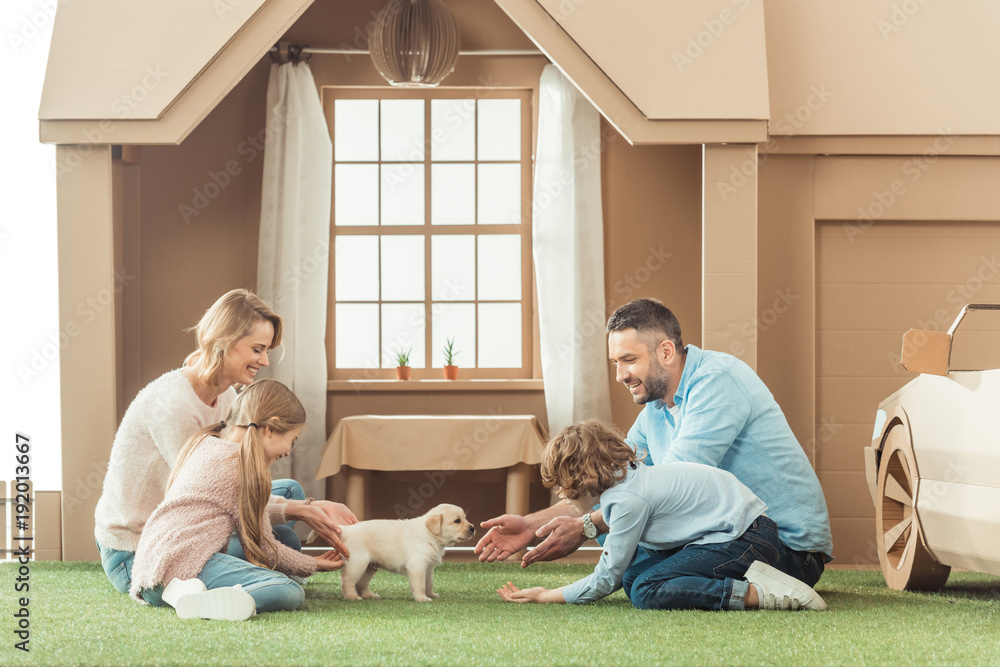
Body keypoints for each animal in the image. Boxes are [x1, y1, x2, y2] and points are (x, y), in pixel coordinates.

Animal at [312, 504, 472, 604]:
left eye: (465, 518)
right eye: (457, 521)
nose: (473, 528)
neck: (430, 536)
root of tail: (347, 529)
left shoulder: (429, 568)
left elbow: (429, 583)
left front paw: (431, 594)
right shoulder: (417, 567)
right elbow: (420, 584)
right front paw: (422, 598)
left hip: (369, 567)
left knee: (361, 584)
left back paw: (369, 595)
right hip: (358, 563)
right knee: (347, 581)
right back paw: (351, 597)